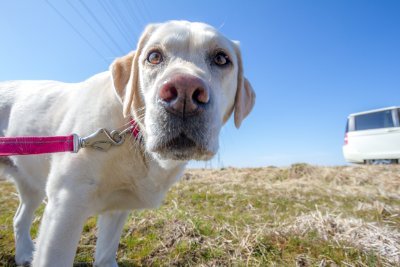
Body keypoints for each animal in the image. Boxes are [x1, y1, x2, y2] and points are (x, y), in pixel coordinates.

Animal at [0, 20, 255, 266]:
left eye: (221, 58)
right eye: (154, 56)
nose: (184, 93)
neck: (132, 135)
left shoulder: (118, 208)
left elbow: (105, 255)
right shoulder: (65, 207)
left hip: (32, 185)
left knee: (19, 218)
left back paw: (24, 253)